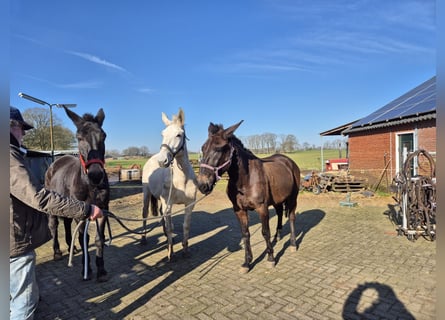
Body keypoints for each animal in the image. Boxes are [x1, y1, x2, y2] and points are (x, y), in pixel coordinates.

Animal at [44, 106, 109, 282]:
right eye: (79, 138)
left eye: (103, 136)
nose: (96, 175)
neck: (89, 185)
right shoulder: (81, 212)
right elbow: (83, 239)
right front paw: (86, 269)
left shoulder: (102, 209)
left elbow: (99, 239)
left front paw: (101, 270)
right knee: (53, 225)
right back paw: (57, 252)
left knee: (66, 224)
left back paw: (70, 247)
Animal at [196, 120, 300, 272]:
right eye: (203, 148)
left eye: (220, 148)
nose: (203, 185)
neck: (246, 180)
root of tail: (289, 161)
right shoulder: (239, 210)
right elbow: (245, 234)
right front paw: (247, 262)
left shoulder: (262, 208)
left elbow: (265, 232)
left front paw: (271, 258)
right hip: (278, 200)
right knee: (280, 213)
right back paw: (278, 237)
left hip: (293, 198)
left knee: (291, 217)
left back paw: (292, 244)